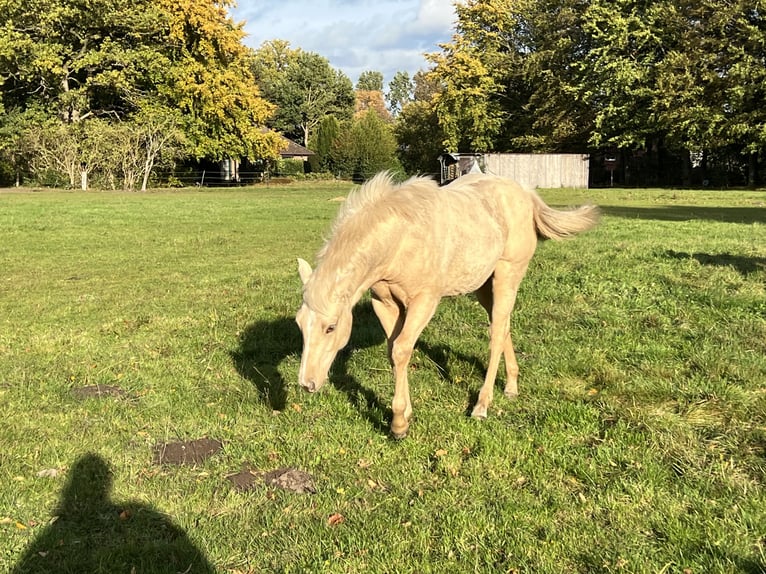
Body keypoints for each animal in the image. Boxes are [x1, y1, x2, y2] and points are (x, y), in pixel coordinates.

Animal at [295, 171, 599, 438]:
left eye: (331, 327)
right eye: (299, 324)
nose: (307, 384)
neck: (400, 239)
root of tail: (526, 194)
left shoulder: (424, 301)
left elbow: (402, 350)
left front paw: (398, 423)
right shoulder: (384, 303)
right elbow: (394, 352)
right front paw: (405, 416)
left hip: (508, 275)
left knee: (496, 334)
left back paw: (481, 406)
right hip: (483, 286)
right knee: (503, 326)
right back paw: (511, 386)